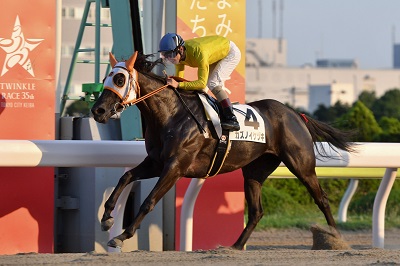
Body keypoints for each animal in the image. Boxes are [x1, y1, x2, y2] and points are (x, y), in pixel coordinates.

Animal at [90, 51, 354, 249]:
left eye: (120, 80)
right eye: (105, 79)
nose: (98, 111)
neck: (171, 114)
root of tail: (295, 114)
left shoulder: (175, 166)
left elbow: (149, 200)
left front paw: (122, 235)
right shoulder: (156, 162)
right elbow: (126, 176)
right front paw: (106, 218)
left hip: (301, 164)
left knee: (322, 199)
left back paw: (336, 238)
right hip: (254, 171)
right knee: (256, 211)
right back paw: (235, 246)